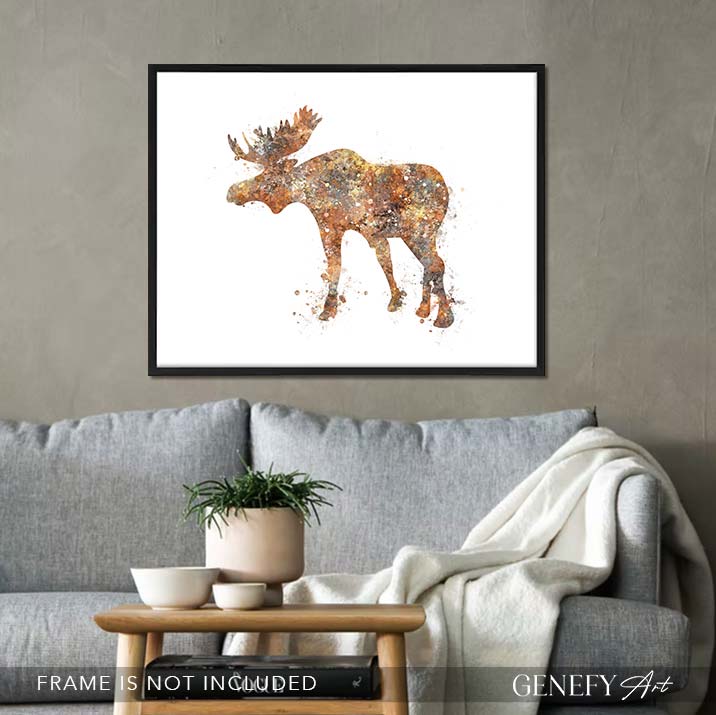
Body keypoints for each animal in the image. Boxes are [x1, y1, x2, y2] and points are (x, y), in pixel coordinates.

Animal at [226, 107, 454, 328]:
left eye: (269, 181)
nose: (232, 192)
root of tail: (445, 189)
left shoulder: (357, 230)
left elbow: (362, 265)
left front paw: (332, 309)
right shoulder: (342, 230)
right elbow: (354, 265)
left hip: (420, 231)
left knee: (436, 264)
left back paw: (444, 318)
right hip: (415, 236)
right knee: (430, 265)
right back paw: (423, 310)